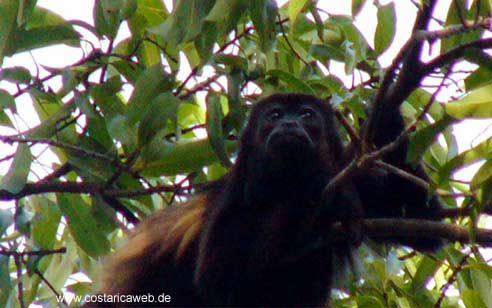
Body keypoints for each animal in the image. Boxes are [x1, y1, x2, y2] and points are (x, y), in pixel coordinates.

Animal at [88, 93, 442, 308]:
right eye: (274, 115)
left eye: (307, 114)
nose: (289, 124)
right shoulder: (234, 193)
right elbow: (217, 274)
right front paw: (314, 191)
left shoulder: (358, 178)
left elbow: (424, 224)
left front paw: (385, 112)